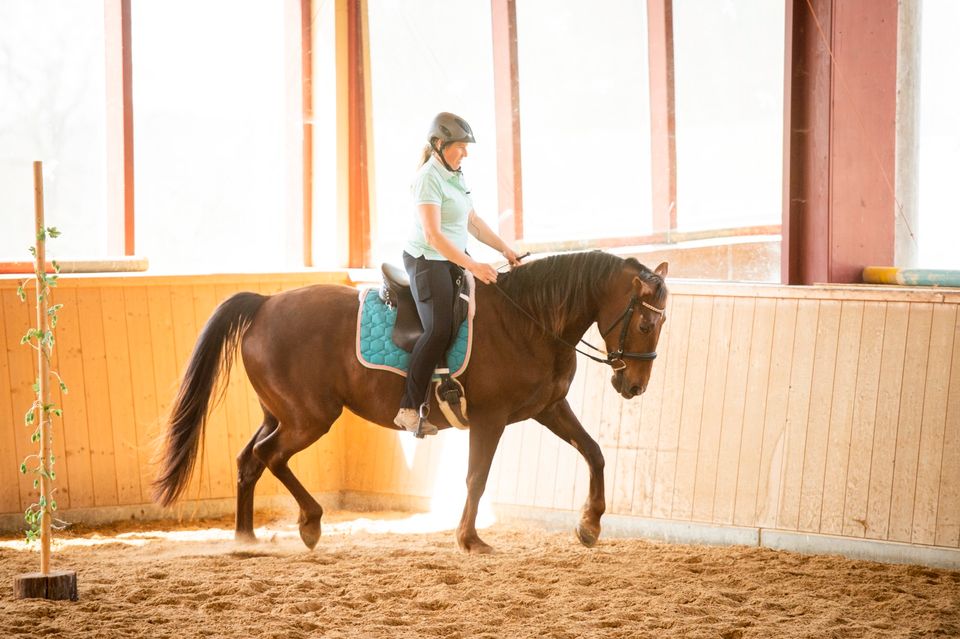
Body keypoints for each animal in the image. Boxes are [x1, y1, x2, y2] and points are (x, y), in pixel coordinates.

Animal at [156, 252, 668, 552]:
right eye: (645, 324)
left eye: (661, 324)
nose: (635, 386)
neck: (528, 320)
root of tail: (264, 304)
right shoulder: (490, 419)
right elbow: (477, 478)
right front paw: (469, 540)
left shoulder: (548, 408)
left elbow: (594, 453)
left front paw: (590, 525)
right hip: (309, 419)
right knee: (269, 456)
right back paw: (310, 523)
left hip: (280, 413)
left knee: (249, 460)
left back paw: (245, 538)